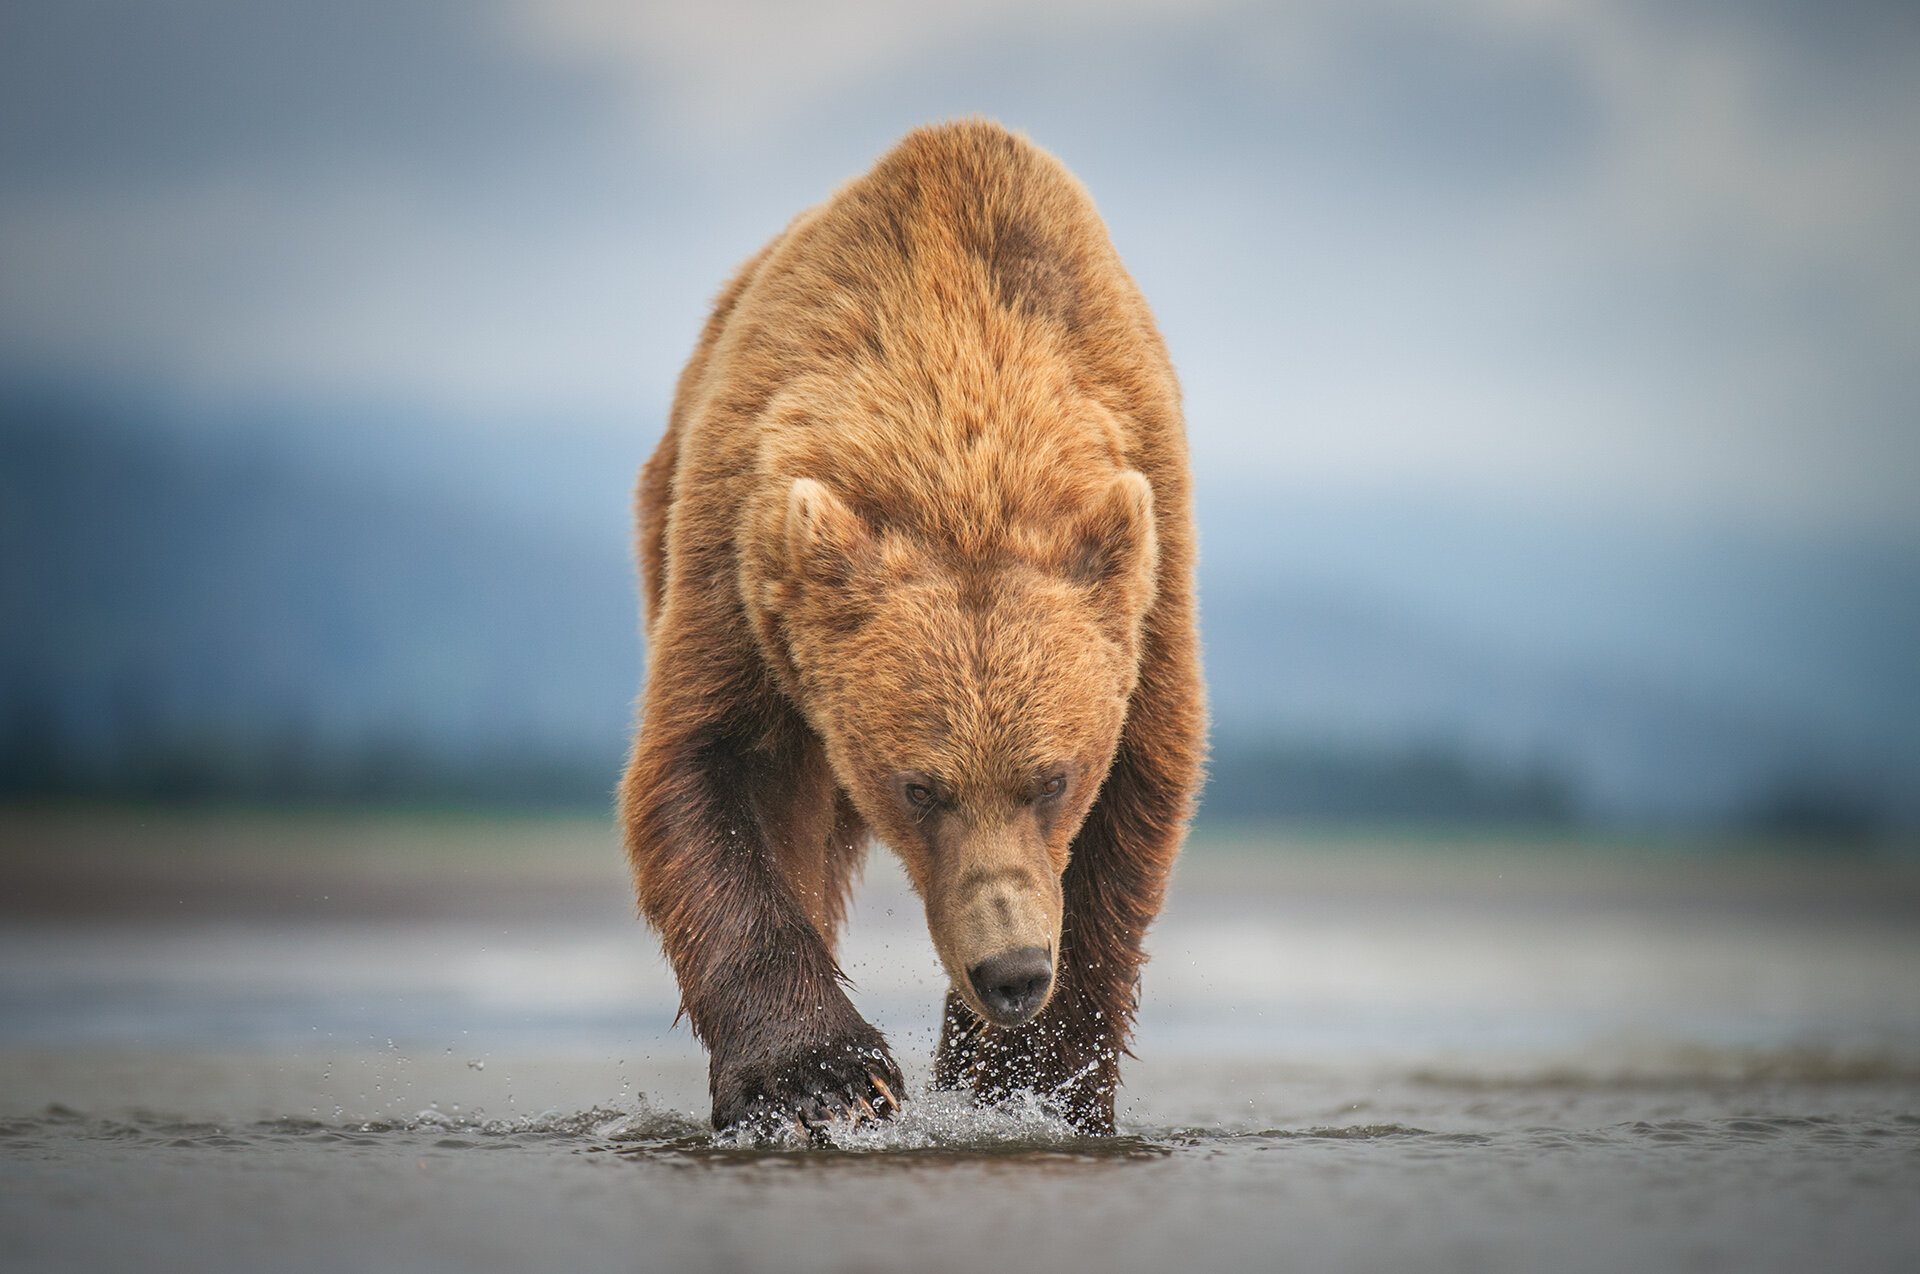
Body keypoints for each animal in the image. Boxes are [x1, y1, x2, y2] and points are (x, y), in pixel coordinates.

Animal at [622, 119, 1205, 1135]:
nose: (1012, 971)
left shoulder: (1148, 580)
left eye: (1053, 779)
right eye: (920, 787)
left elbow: (1131, 808)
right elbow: (710, 769)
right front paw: (822, 1073)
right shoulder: (743, 568)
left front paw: (1028, 1080)